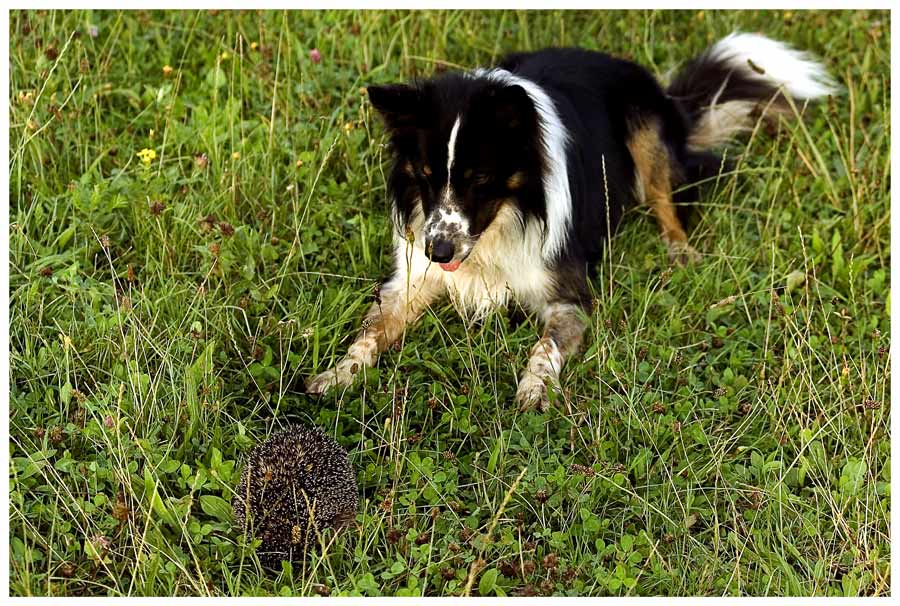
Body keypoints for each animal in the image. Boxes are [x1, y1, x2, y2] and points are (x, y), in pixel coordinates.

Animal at [308, 34, 836, 414]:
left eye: (479, 178)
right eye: (425, 176)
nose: (437, 251)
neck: (506, 220)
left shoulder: (568, 295)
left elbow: (544, 346)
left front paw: (532, 390)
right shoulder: (412, 279)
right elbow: (371, 331)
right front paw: (336, 375)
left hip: (645, 129)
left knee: (665, 199)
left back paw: (680, 252)